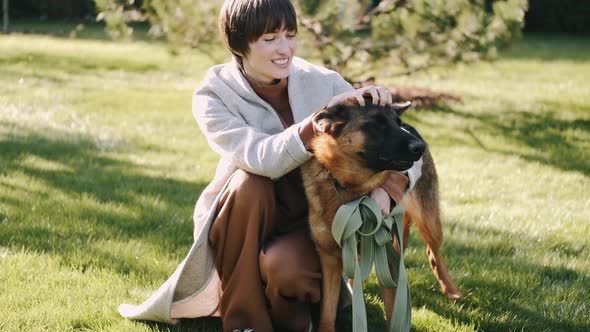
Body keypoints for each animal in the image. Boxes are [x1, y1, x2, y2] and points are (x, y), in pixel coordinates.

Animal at [302, 100, 464, 330]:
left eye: (397, 123)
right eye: (376, 124)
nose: (420, 147)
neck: (353, 191)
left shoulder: (384, 260)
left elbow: (392, 312)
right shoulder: (330, 260)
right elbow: (327, 313)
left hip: (429, 221)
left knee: (434, 253)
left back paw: (452, 291)